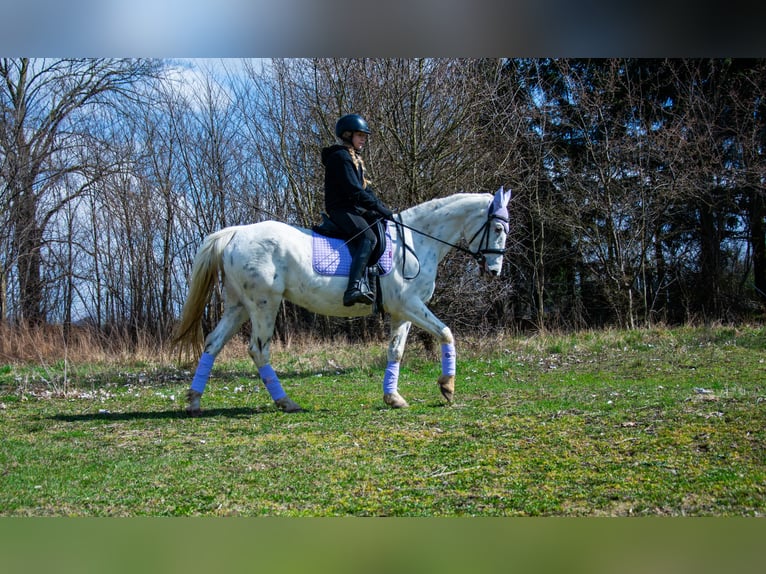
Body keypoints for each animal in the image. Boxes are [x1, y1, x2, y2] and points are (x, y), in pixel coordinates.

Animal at [173, 186, 512, 414]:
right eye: (497, 228)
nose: (494, 271)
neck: (416, 241)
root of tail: (235, 234)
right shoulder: (409, 306)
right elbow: (446, 332)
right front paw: (447, 386)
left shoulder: (402, 312)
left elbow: (396, 351)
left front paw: (393, 397)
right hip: (263, 305)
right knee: (258, 350)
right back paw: (286, 401)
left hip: (238, 306)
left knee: (213, 344)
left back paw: (194, 401)